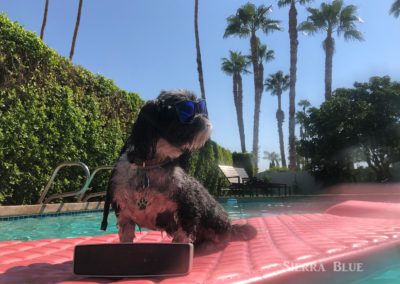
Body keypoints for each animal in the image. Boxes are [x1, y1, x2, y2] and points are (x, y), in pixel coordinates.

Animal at [100, 89, 256, 253]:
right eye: (186, 110)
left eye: (201, 107)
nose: (203, 116)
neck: (149, 167)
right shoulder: (124, 214)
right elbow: (125, 237)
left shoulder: (189, 206)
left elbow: (182, 236)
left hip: (214, 216)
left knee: (222, 237)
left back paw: (209, 244)